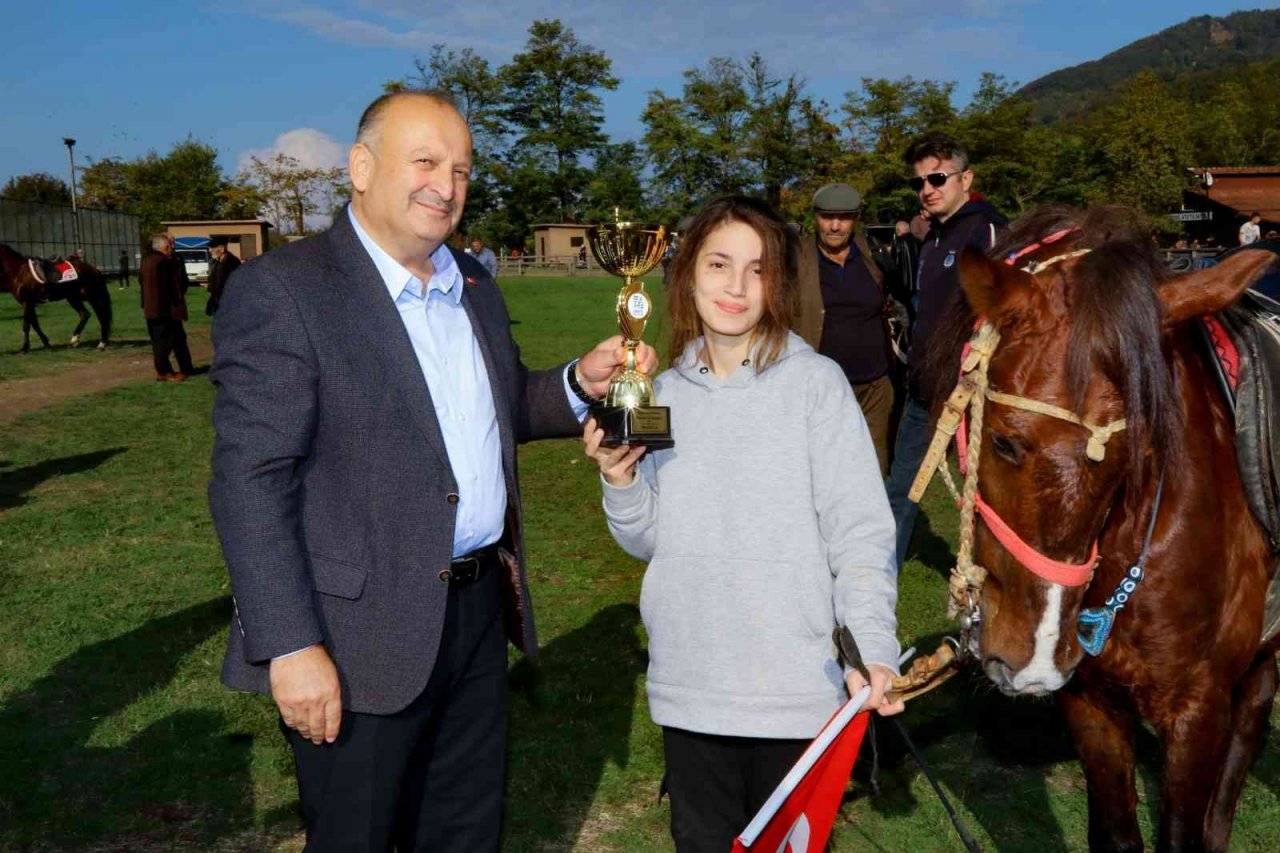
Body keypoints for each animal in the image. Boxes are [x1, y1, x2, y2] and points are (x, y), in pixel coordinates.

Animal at [931, 207, 1280, 850]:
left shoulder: (1199, 710)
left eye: (1137, 452)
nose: (1035, 662)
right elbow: (1116, 834)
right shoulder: (1089, 699)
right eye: (1003, 442)